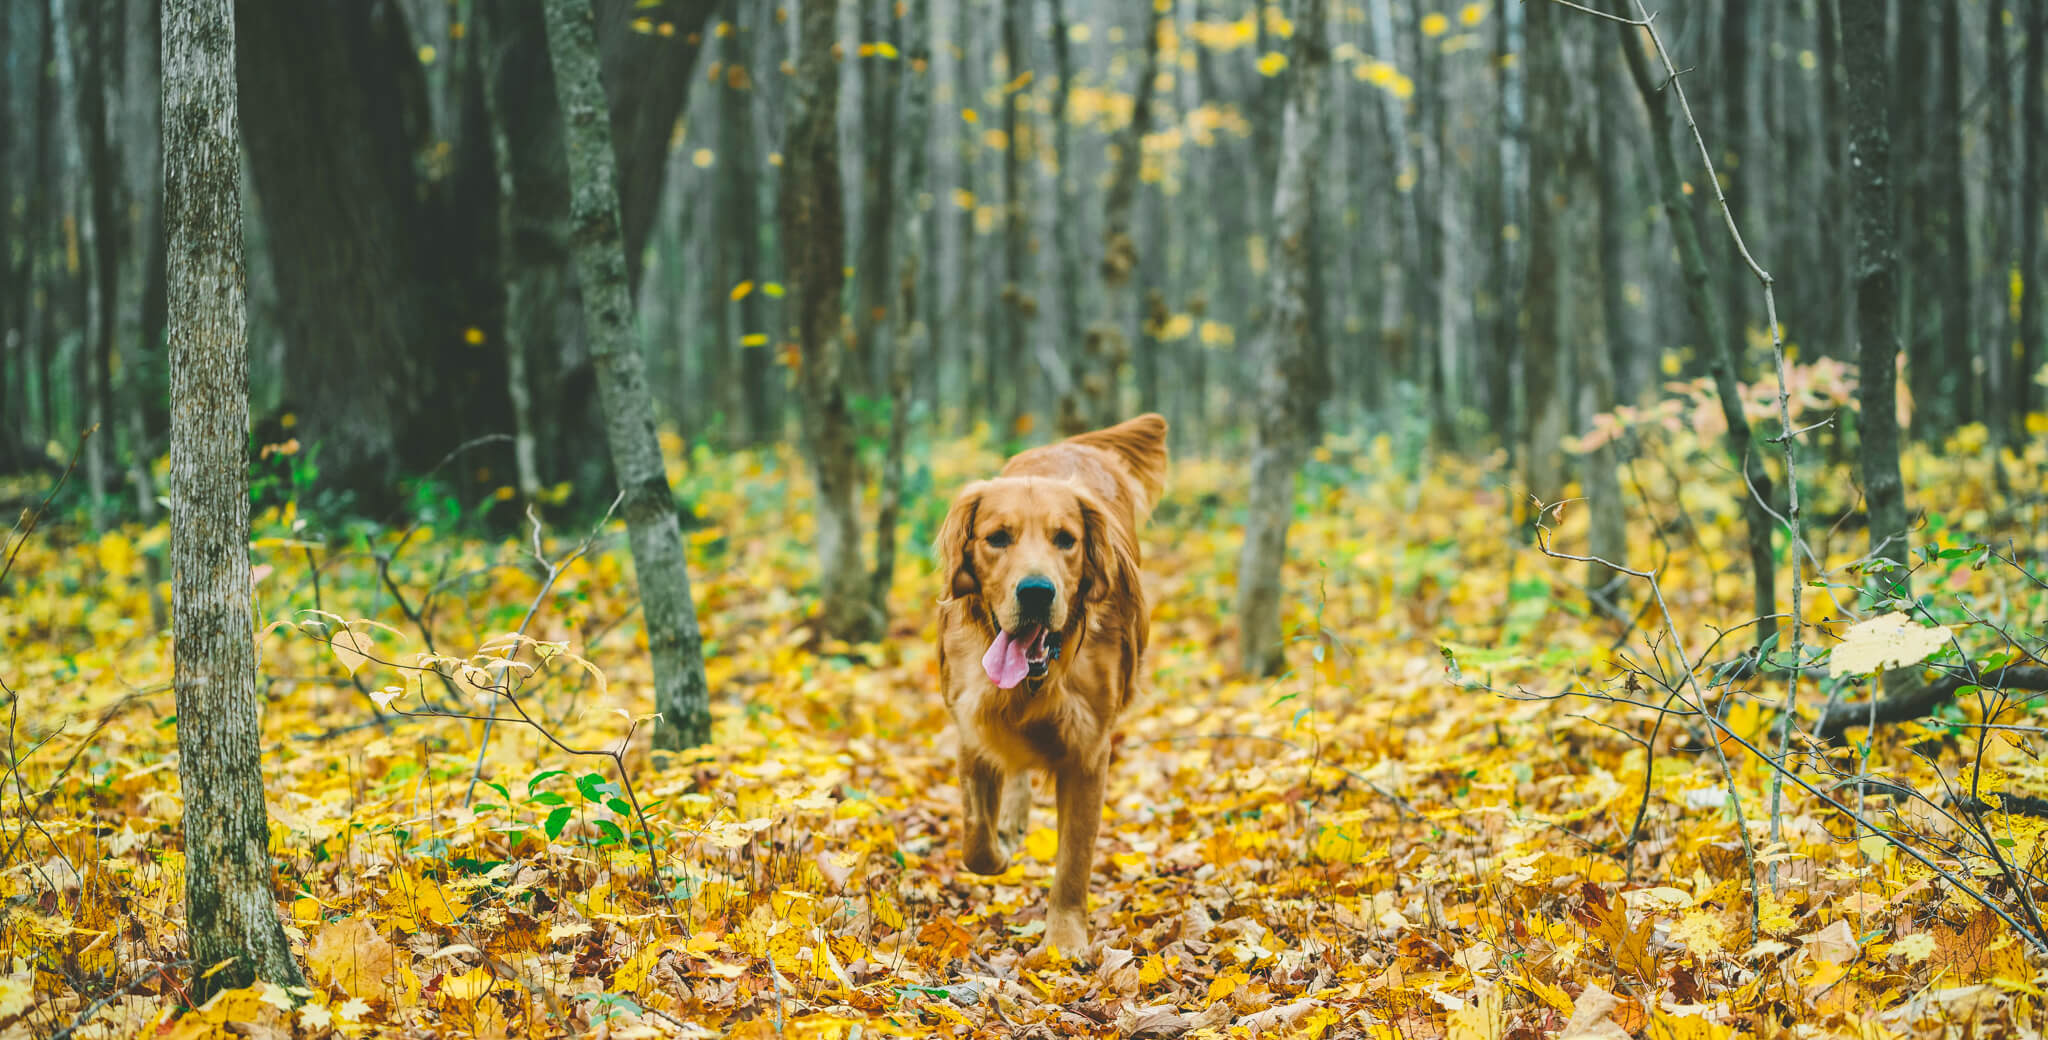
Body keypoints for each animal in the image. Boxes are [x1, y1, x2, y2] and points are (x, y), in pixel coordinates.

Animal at [933, 409, 1171, 954]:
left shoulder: (1088, 752)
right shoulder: (971, 727)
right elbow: (976, 840)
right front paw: (998, 847)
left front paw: (1064, 943)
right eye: (998, 537)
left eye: (1065, 539)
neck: (1036, 684)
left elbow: (1073, 862)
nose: (1037, 592)